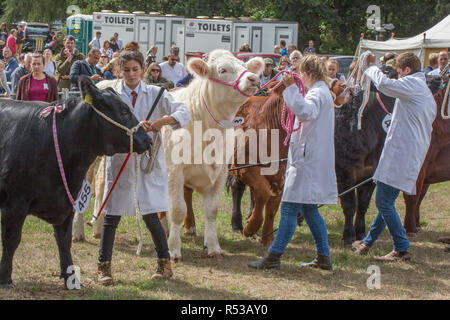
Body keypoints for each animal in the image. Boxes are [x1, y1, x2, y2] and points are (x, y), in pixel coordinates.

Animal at [0, 76, 151, 288]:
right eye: (123, 110)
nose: (148, 140)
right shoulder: (15, 202)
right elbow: (11, 239)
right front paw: (5, 277)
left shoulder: (68, 201)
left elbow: (64, 240)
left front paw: (70, 277)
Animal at [164, 49, 264, 260]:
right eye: (223, 69)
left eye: (245, 67)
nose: (253, 78)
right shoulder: (175, 172)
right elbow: (177, 210)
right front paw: (174, 249)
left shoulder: (220, 173)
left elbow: (211, 211)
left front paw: (213, 246)